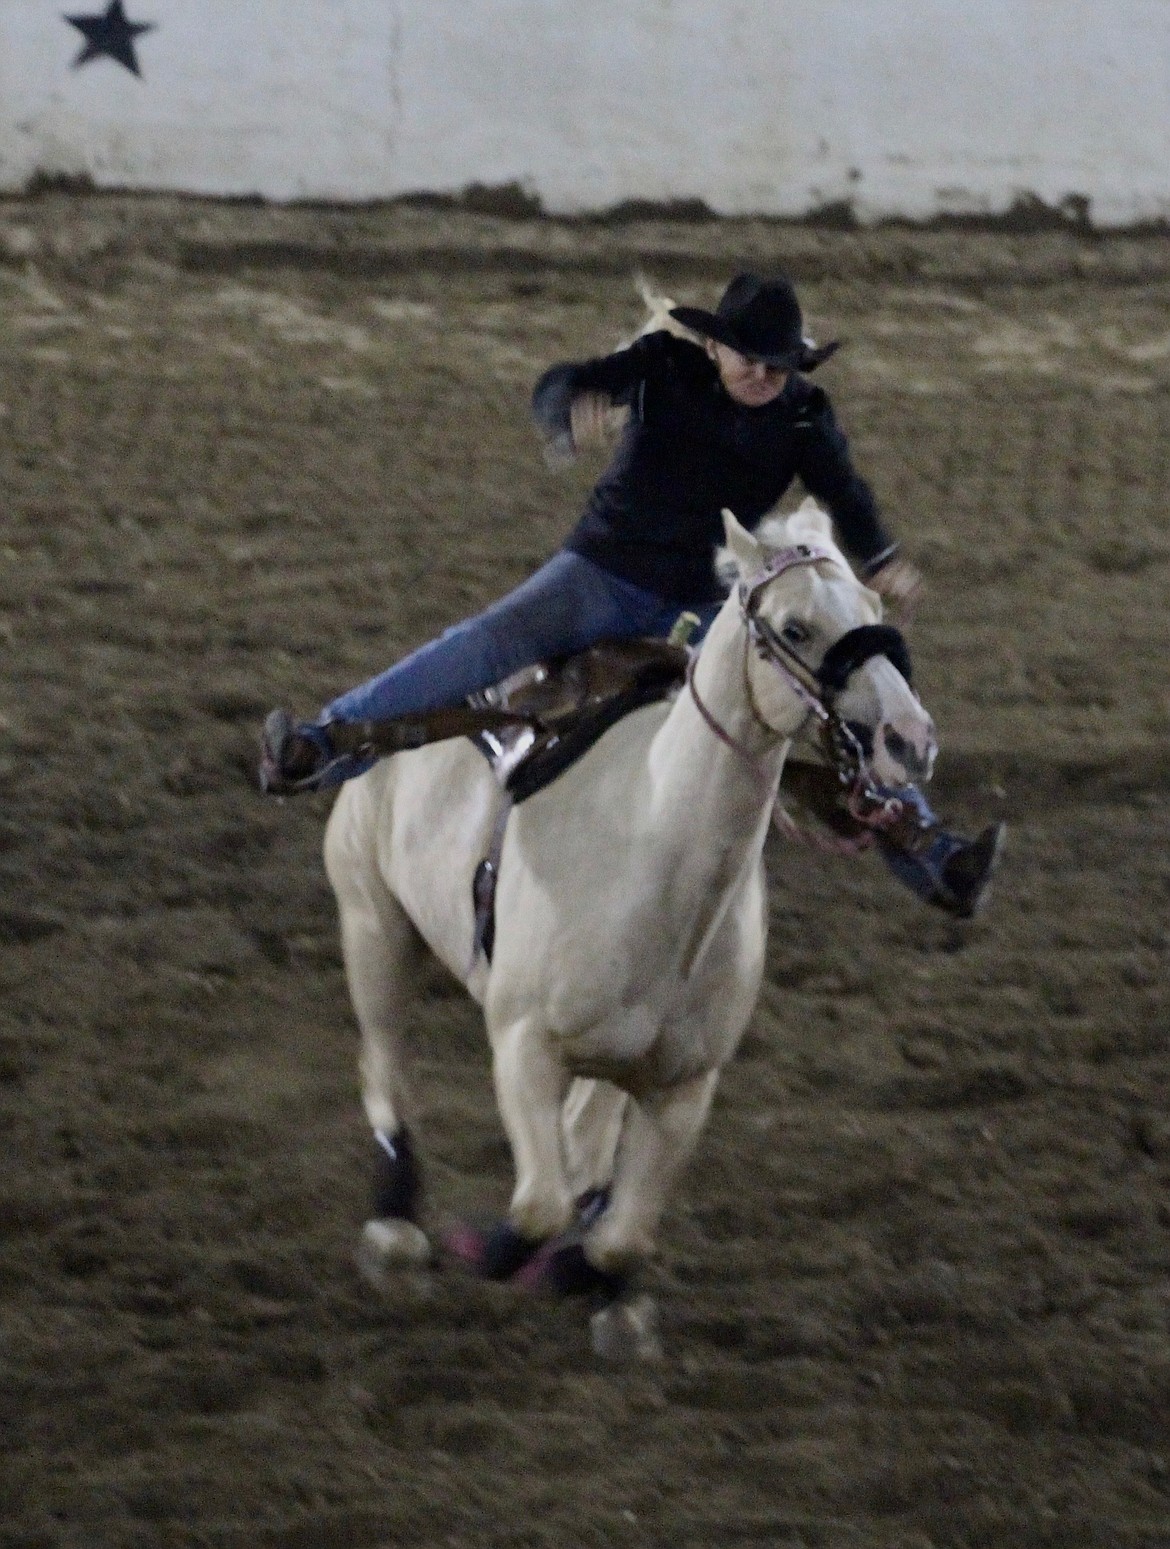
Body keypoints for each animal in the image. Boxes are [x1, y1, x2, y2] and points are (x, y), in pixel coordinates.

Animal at [322, 498, 942, 1344]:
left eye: (876, 607)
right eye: (796, 627)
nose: (910, 740)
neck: (651, 856)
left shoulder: (684, 1086)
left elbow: (621, 1235)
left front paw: (597, 1286)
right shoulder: (522, 1045)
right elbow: (538, 1205)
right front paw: (492, 1250)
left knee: (585, 1138)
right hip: (373, 921)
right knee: (384, 1063)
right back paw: (394, 1226)